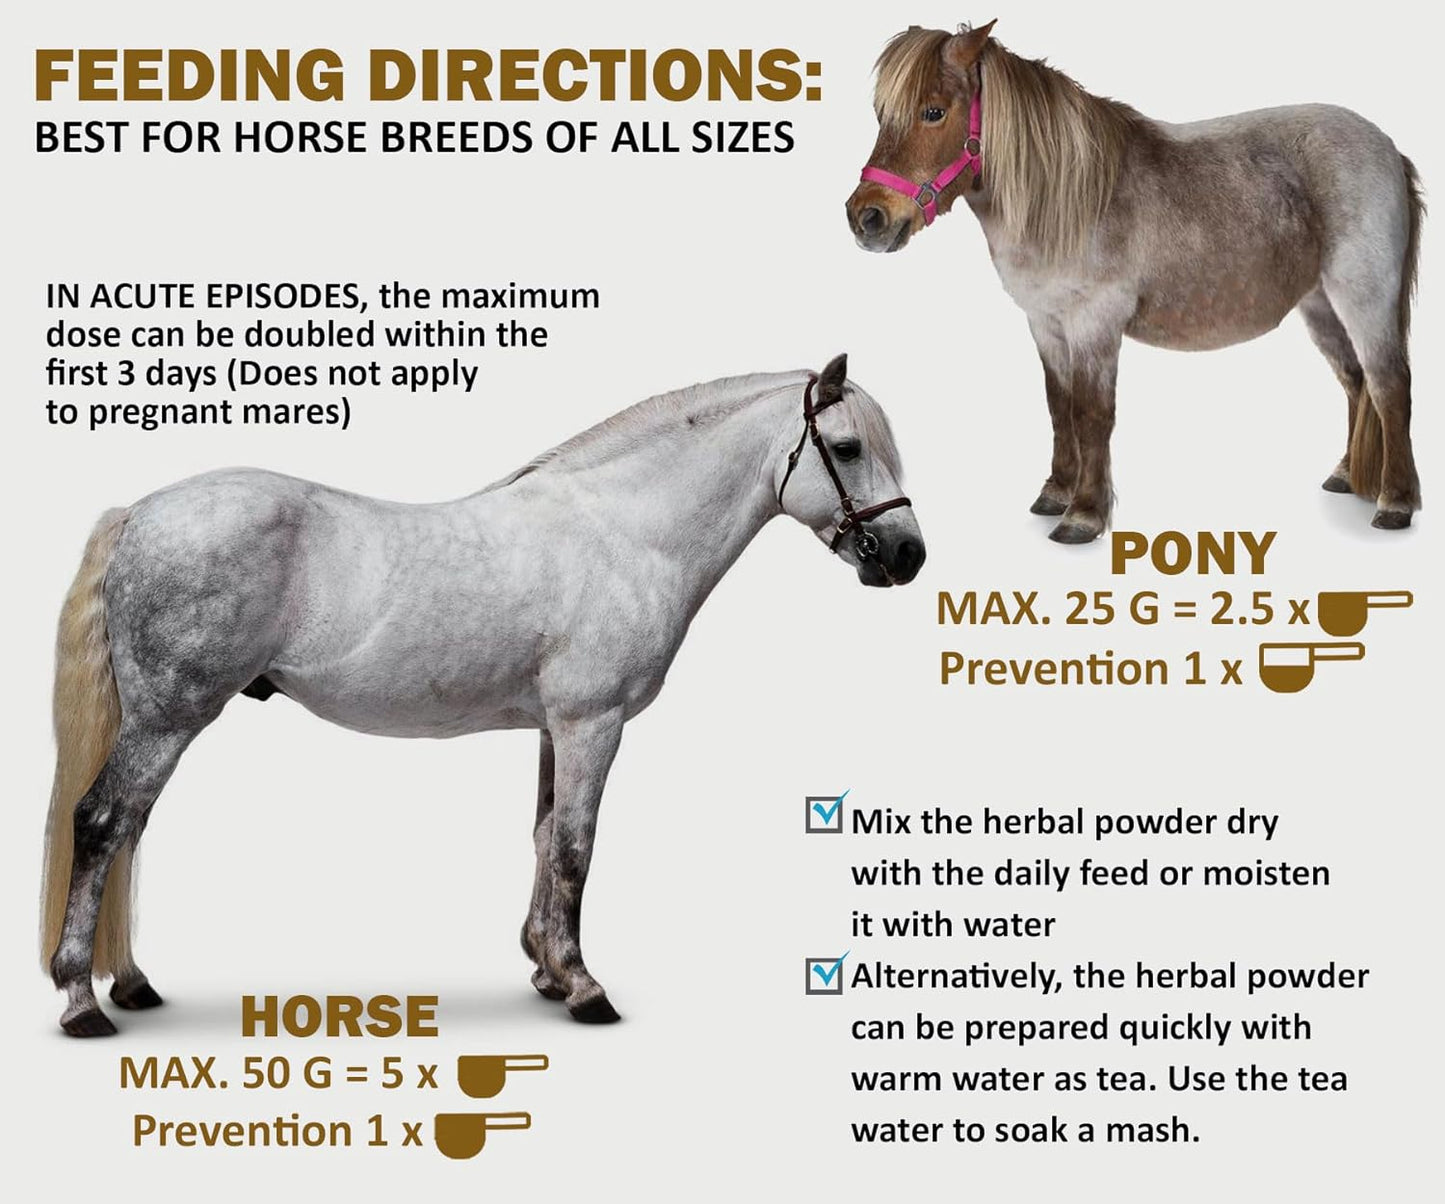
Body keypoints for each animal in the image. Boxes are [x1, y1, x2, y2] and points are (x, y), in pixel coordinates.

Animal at [40, 354, 925, 1036]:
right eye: (845, 447)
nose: (907, 556)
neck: (623, 533)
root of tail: (141, 513)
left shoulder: (553, 729)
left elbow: (542, 839)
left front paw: (544, 971)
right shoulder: (592, 723)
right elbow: (575, 849)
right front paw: (583, 987)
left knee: (131, 830)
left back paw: (131, 984)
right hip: (168, 717)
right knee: (103, 823)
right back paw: (83, 1001)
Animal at [846, 22, 1425, 541]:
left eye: (934, 111)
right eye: (881, 115)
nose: (866, 218)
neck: (1071, 197)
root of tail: (1388, 149)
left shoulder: (1094, 324)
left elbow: (1092, 414)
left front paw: (1083, 515)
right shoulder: (1046, 324)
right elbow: (1059, 406)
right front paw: (1055, 493)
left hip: (1365, 298)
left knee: (1389, 385)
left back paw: (1394, 504)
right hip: (1322, 305)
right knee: (1355, 382)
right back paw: (1347, 476)